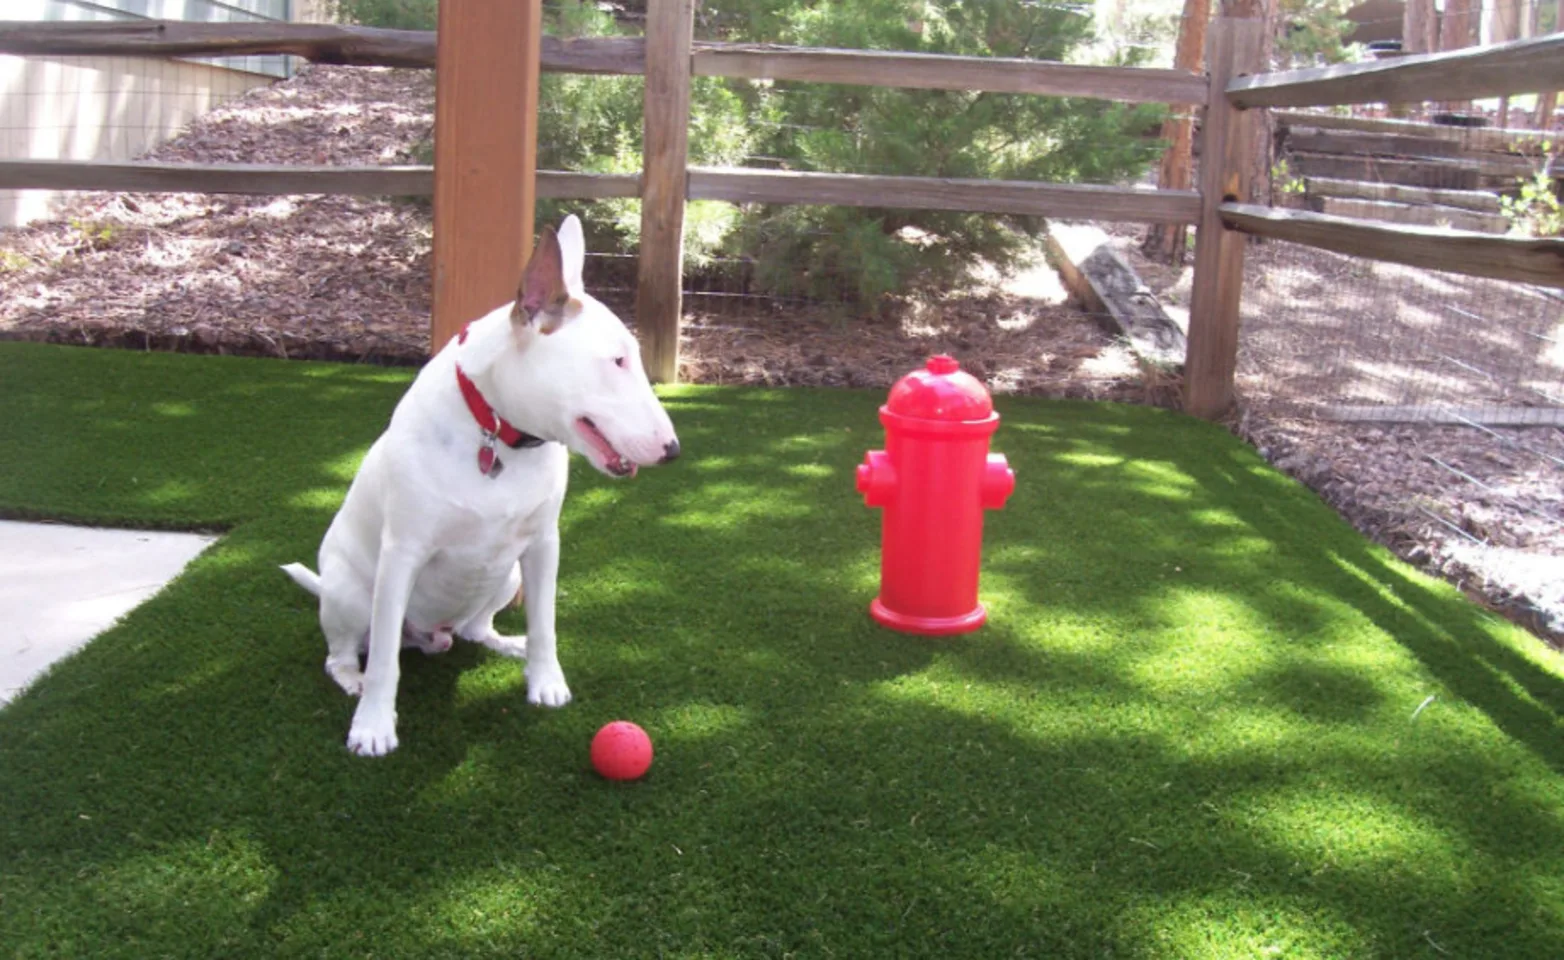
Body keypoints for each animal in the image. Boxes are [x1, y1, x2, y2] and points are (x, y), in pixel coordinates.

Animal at [281, 215, 678, 759]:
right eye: (618, 361)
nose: (673, 449)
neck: (499, 431)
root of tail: (430, 635)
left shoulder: (544, 544)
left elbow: (545, 623)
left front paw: (545, 681)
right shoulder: (402, 553)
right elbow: (383, 657)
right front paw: (374, 727)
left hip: (505, 577)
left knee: (474, 629)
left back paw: (507, 645)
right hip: (350, 593)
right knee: (346, 652)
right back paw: (354, 682)